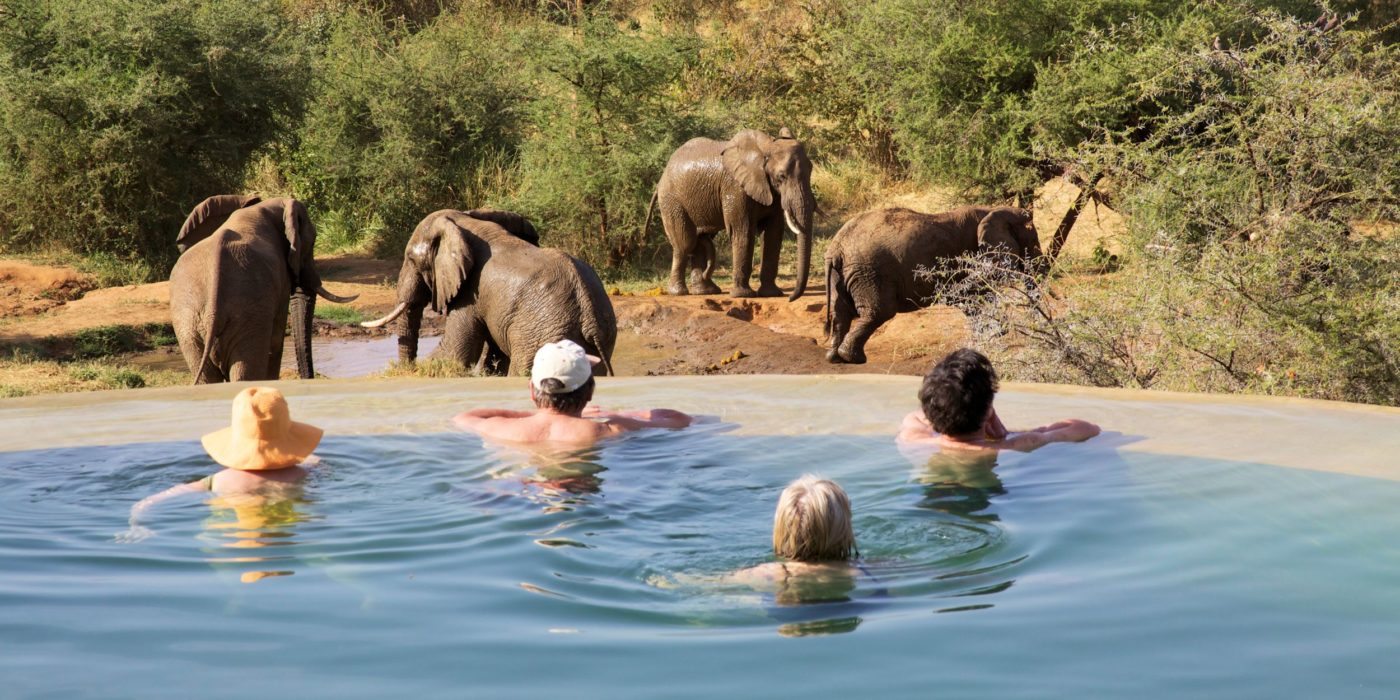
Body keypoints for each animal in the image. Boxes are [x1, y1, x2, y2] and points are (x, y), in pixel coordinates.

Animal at [170, 196, 361, 383]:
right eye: (313, 241)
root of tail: (212, 314)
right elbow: (276, 342)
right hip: (245, 317)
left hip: (189, 328)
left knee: (209, 377)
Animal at [364, 207, 616, 378]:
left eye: (410, 259)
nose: (406, 368)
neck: (465, 222)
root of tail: (589, 317)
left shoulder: (471, 294)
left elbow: (454, 354)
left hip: (543, 336)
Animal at [641, 127, 817, 299]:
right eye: (781, 176)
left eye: (810, 172)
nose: (790, 297)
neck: (765, 148)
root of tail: (661, 178)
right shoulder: (735, 187)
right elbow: (743, 232)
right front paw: (743, 295)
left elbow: (772, 235)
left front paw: (771, 294)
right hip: (671, 200)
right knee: (685, 243)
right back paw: (679, 292)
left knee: (699, 242)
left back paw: (706, 291)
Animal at [817, 204, 1041, 364]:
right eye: (1033, 241)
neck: (993, 209)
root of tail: (836, 248)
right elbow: (973, 290)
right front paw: (995, 334)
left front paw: (990, 336)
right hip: (868, 272)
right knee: (879, 312)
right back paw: (854, 359)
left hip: (842, 274)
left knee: (841, 314)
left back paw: (835, 358)